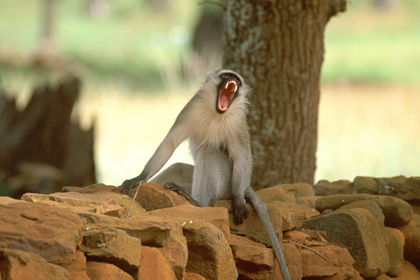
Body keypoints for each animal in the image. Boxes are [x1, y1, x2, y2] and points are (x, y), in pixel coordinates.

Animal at [122, 70, 288, 280]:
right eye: (225, 76)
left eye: (236, 79)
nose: (230, 81)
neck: (217, 113)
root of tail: (243, 185)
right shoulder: (191, 108)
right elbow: (169, 143)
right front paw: (140, 177)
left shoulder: (239, 122)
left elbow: (243, 156)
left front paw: (238, 200)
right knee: (178, 167)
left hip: (227, 184)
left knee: (209, 149)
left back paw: (198, 203)